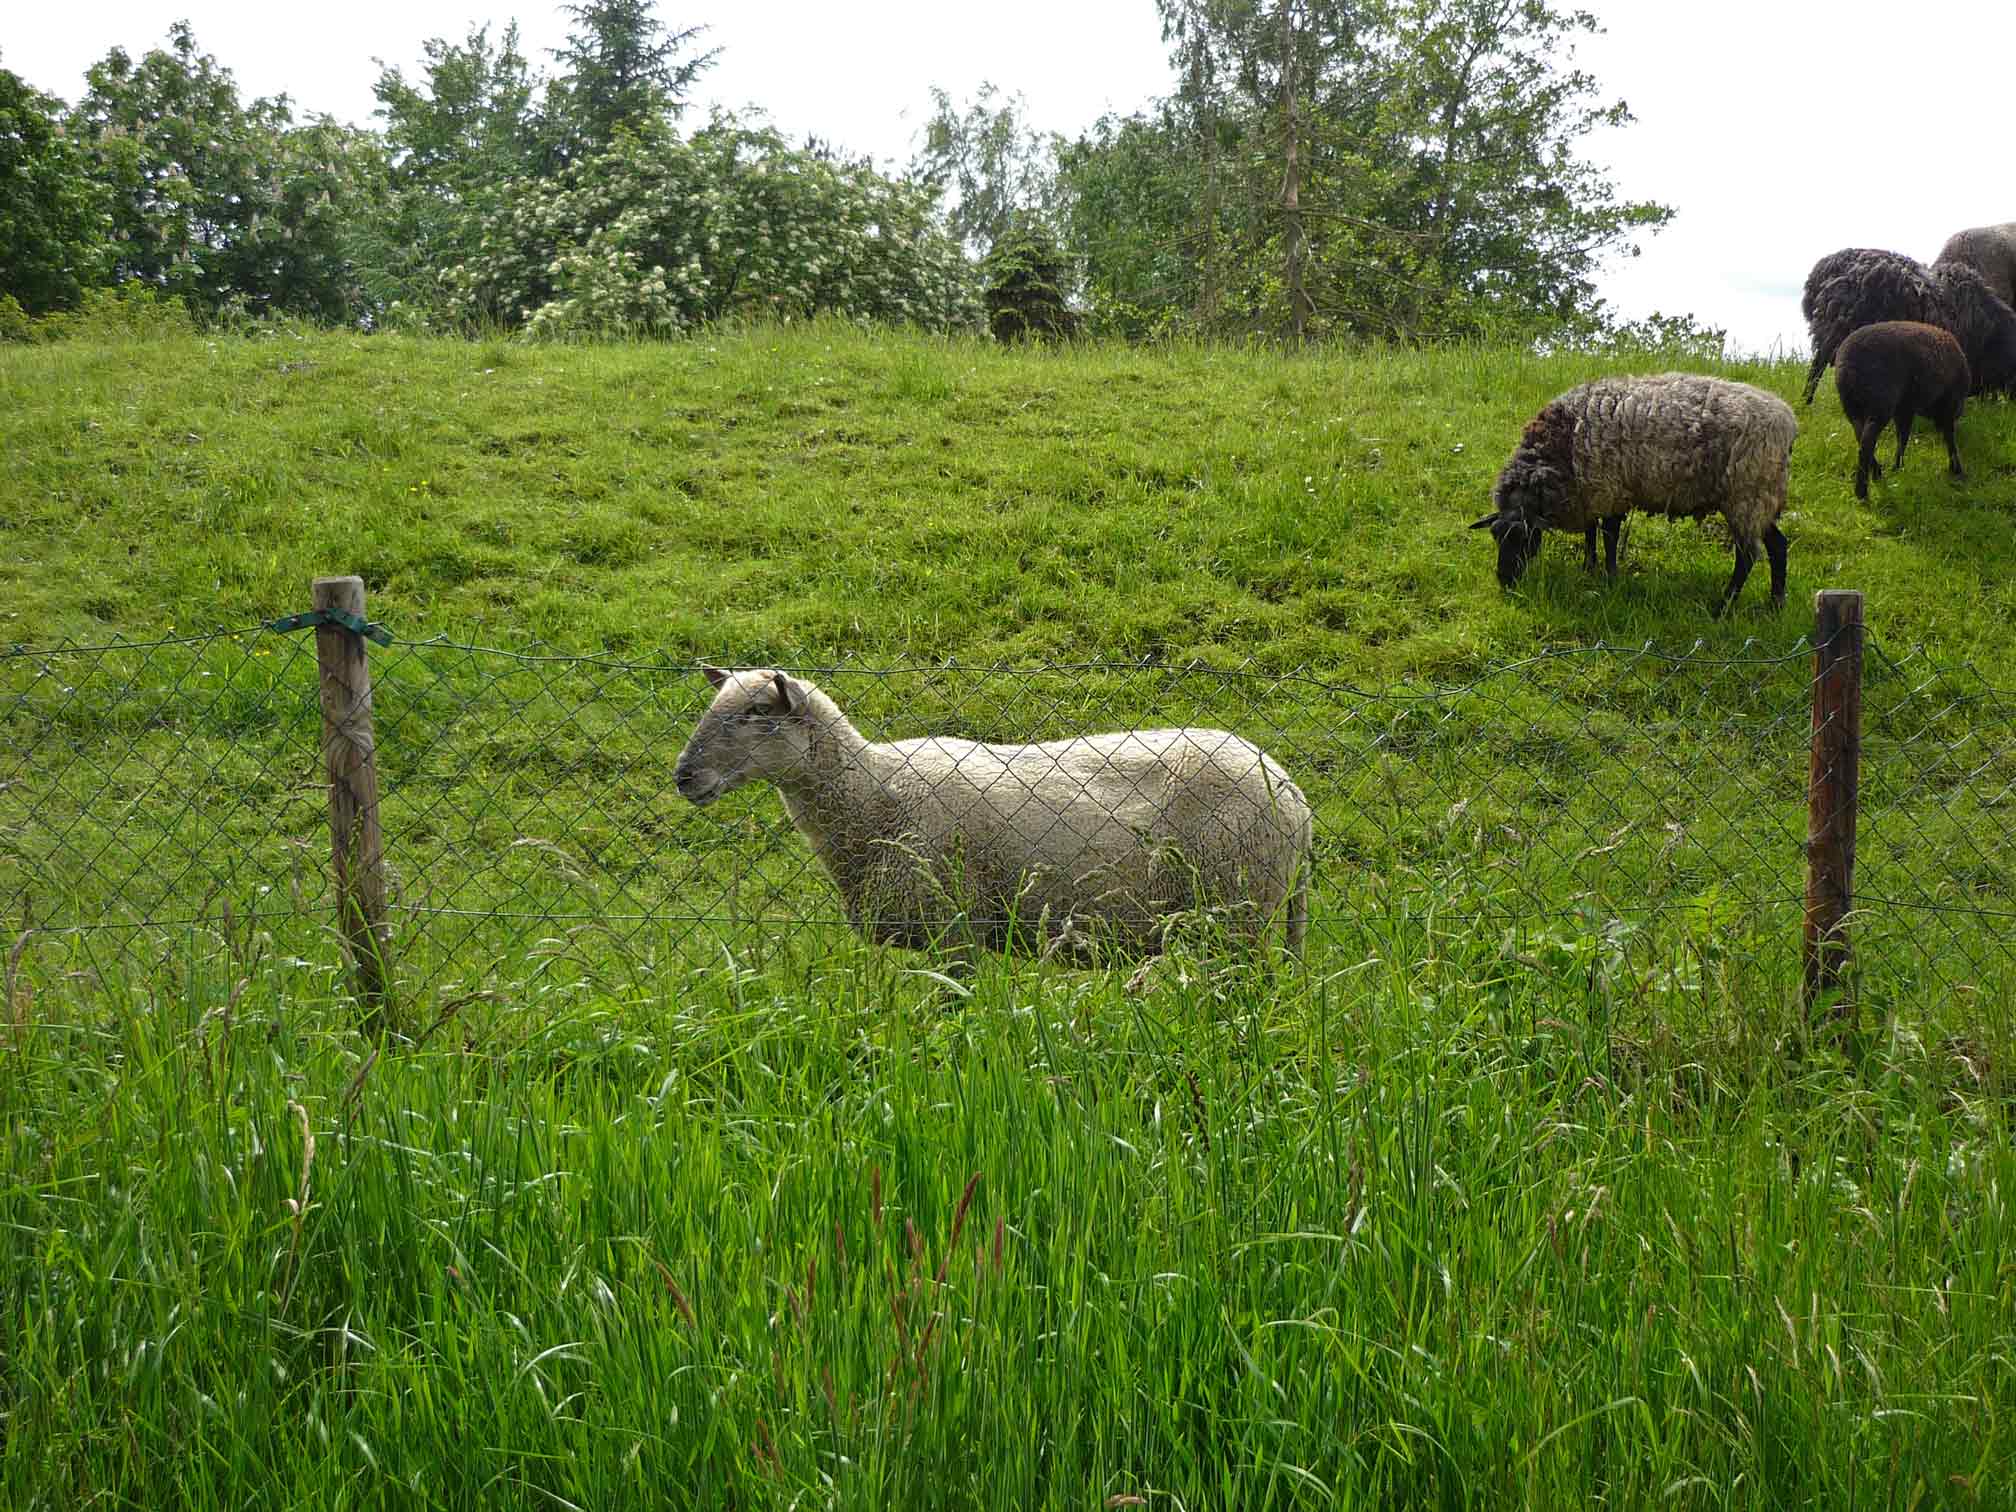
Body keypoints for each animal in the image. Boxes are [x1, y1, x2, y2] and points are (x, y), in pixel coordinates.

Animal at [672, 667, 1314, 962]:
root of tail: (1292, 793)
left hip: (1235, 909)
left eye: (758, 712)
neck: (876, 797)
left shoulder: (955, 933)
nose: (683, 776)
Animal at [1470, 373, 1796, 617]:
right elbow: (1591, 532)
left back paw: (1723, 606)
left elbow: (1609, 536)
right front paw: (1588, 567)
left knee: (1747, 556)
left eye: (1524, 539)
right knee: (1778, 545)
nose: (1505, 581)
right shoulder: (1592, 493)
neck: (1562, 445)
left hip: (1748, 494)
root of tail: (1789, 422)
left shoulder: (1611, 492)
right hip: (1761, 497)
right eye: (1495, 536)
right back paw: (1776, 604)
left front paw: (1611, 578)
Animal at [1833, 321, 1969, 501]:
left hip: (1853, 407)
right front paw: (1956, 469)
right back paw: (1862, 491)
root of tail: (1848, 366)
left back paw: (1876, 473)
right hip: (1880, 402)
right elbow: (1949, 436)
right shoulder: (1948, 405)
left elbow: (1902, 437)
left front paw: (1898, 466)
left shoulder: (1905, 408)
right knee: (1867, 441)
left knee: (1860, 436)